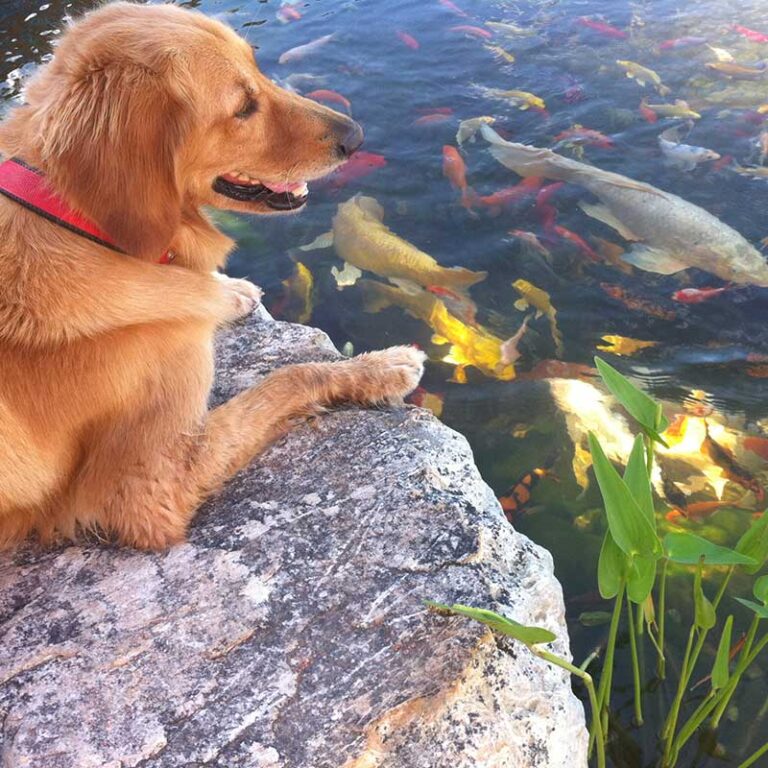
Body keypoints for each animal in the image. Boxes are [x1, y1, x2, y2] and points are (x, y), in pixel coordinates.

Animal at [0, 3, 424, 548]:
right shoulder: (150, 488)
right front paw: (381, 367)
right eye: (243, 108)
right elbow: (288, 378)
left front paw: (230, 292)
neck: (79, 223)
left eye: (259, 69)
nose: (356, 136)